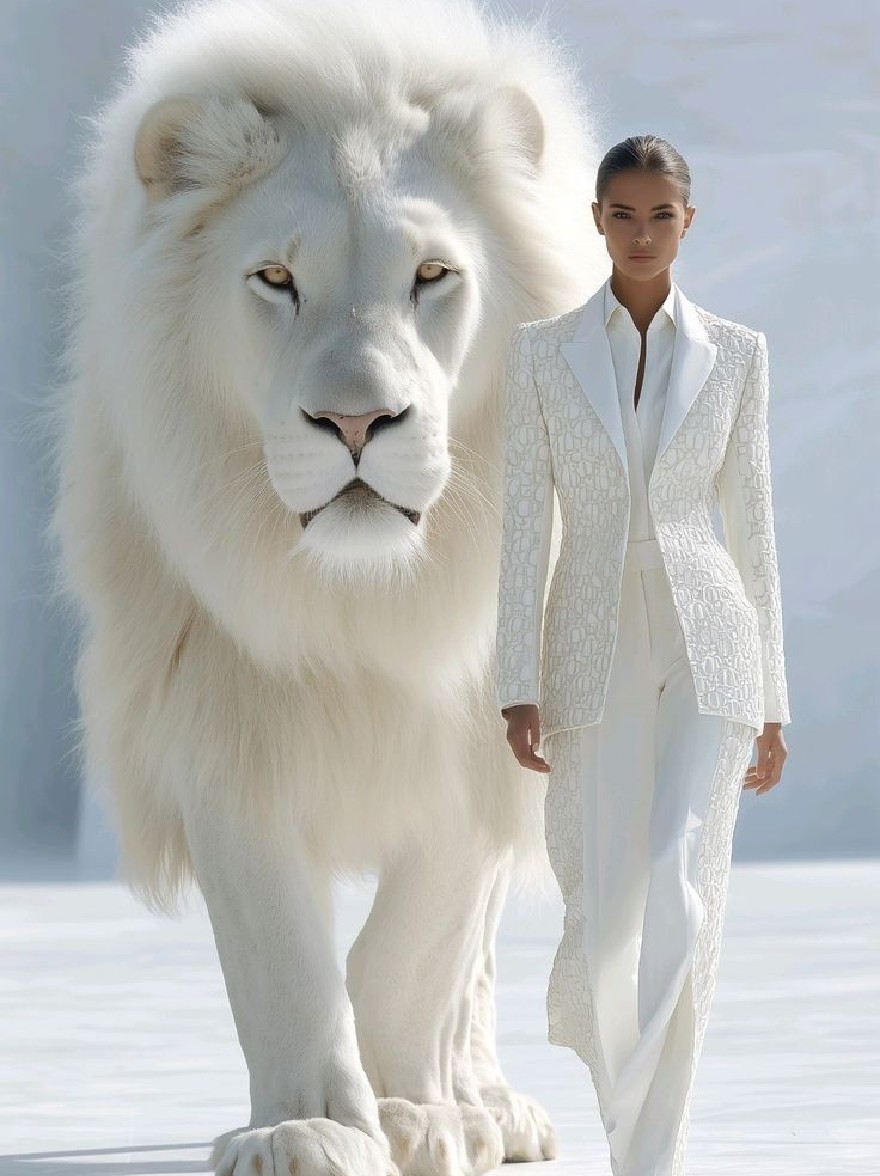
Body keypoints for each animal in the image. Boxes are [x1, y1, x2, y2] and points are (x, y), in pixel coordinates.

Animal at [47, 0, 607, 1172]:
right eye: (275, 279)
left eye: (432, 275)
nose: (356, 422)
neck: (357, 600)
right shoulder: (217, 714)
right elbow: (280, 956)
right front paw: (307, 1130)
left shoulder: (484, 732)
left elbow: (418, 944)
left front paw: (416, 1116)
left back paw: (482, 1103)